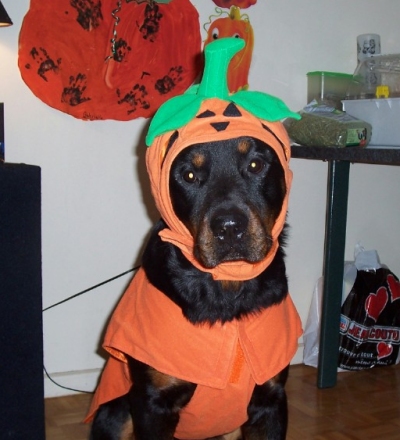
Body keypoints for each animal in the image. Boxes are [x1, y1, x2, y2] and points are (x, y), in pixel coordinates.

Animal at [86, 37, 302, 440]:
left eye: (255, 164)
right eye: (188, 175)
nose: (229, 227)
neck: (226, 293)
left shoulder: (271, 398)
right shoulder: (151, 403)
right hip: (115, 414)